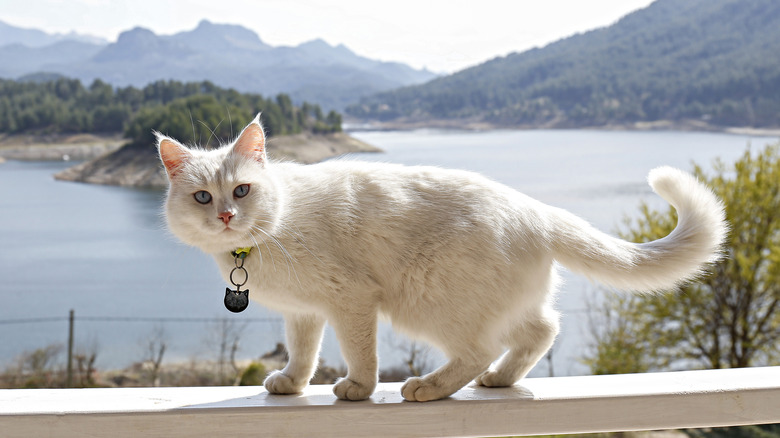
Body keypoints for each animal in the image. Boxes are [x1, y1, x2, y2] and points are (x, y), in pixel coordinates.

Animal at [157, 115, 724, 400]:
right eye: (203, 197)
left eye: (242, 190)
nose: (226, 215)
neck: (265, 237)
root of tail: (537, 211)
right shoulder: (304, 312)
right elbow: (303, 354)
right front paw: (291, 385)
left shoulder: (351, 301)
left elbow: (360, 354)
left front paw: (358, 388)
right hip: (495, 303)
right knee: (541, 331)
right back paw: (501, 380)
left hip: (424, 299)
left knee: (479, 351)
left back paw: (427, 387)